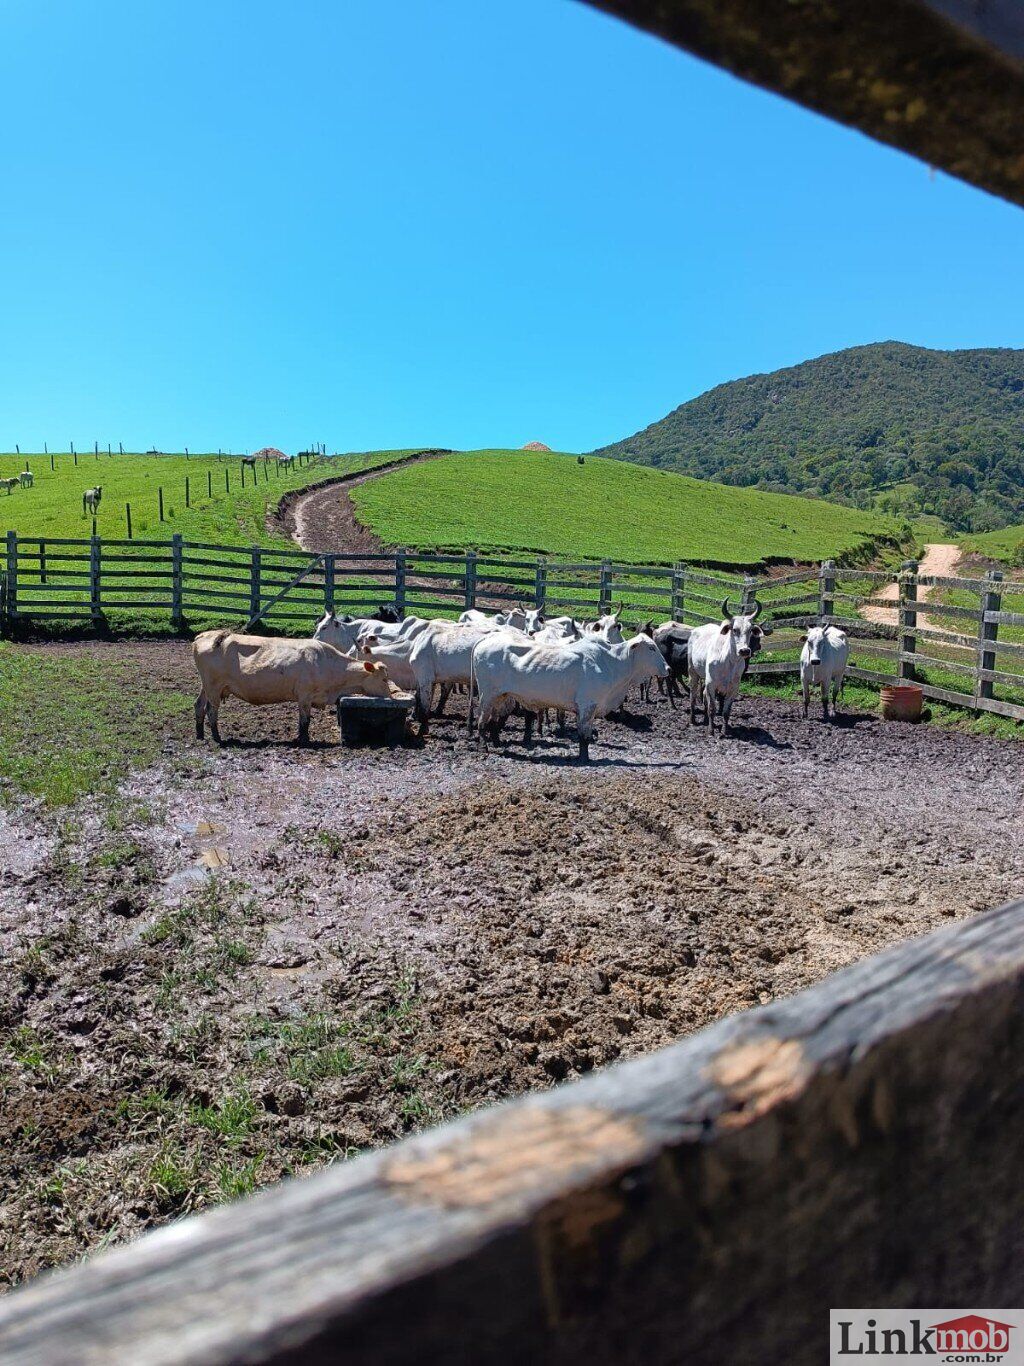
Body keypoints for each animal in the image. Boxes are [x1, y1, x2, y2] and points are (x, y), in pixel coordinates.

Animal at [192, 631, 395, 748]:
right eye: (384, 679)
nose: (390, 696)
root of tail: (204, 636)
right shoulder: (304, 696)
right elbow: (305, 720)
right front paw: (304, 740)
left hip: (206, 686)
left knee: (199, 706)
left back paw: (200, 734)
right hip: (213, 687)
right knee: (211, 710)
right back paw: (217, 737)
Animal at [469, 633, 669, 764]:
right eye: (651, 648)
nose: (668, 668)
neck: (613, 663)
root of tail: (486, 640)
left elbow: (584, 735)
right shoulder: (587, 705)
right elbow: (584, 736)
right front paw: (584, 758)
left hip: (500, 696)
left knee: (493, 720)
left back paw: (496, 742)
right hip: (487, 695)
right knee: (482, 720)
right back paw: (484, 746)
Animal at [690, 598, 770, 737]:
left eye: (750, 630)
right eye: (735, 629)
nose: (744, 651)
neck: (729, 662)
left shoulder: (733, 688)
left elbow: (726, 711)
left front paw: (724, 730)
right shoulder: (711, 684)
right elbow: (712, 708)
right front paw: (711, 731)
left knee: (703, 696)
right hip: (693, 672)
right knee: (693, 696)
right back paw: (693, 719)